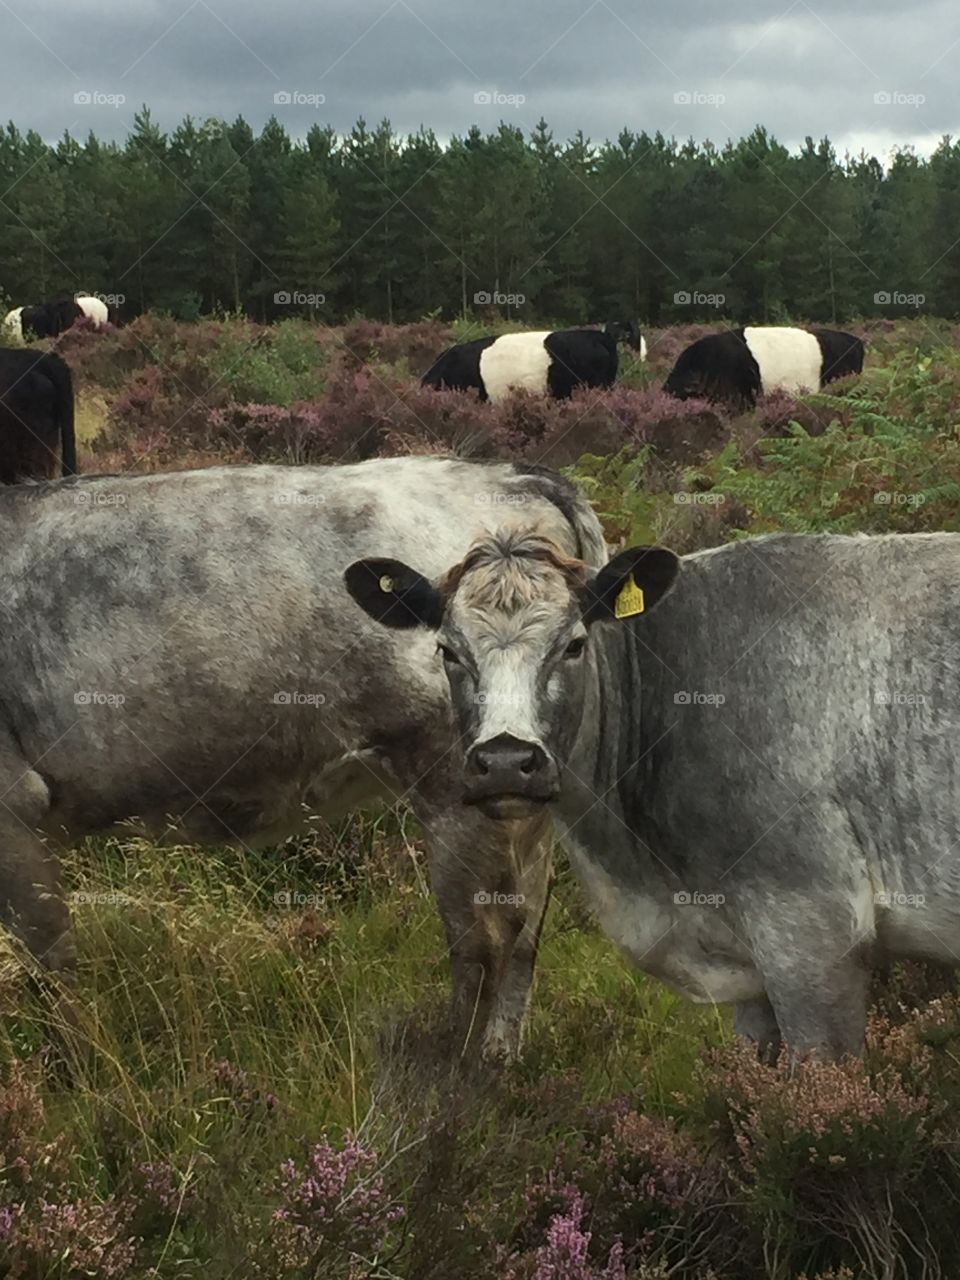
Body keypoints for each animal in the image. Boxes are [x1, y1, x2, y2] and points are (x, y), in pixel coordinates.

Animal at [0, 458, 605, 1061]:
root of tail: (513, 476)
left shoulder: (15, 811)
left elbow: (51, 963)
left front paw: (76, 1066)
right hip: (525, 793)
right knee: (526, 925)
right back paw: (499, 1057)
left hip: (464, 785)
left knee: (486, 935)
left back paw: (449, 1062)